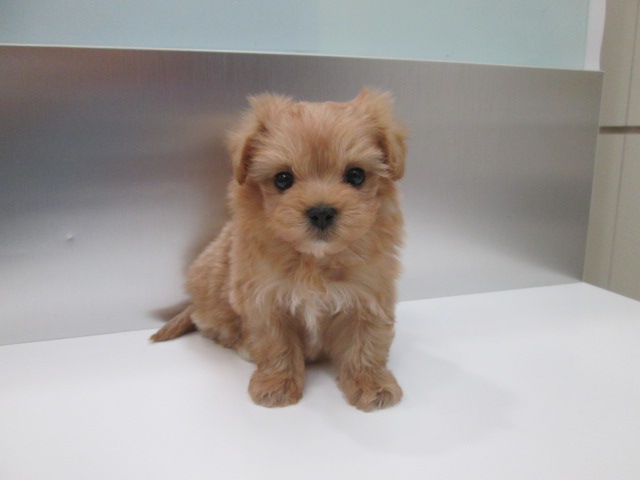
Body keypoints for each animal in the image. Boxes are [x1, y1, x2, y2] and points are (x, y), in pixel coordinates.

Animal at [151, 88, 407, 411]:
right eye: (282, 179)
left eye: (356, 175)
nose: (321, 212)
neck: (314, 260)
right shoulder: (265, 298)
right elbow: (276, 345)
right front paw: (276, 386)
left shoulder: (370, 295)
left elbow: (367, 343)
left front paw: (372, 385)